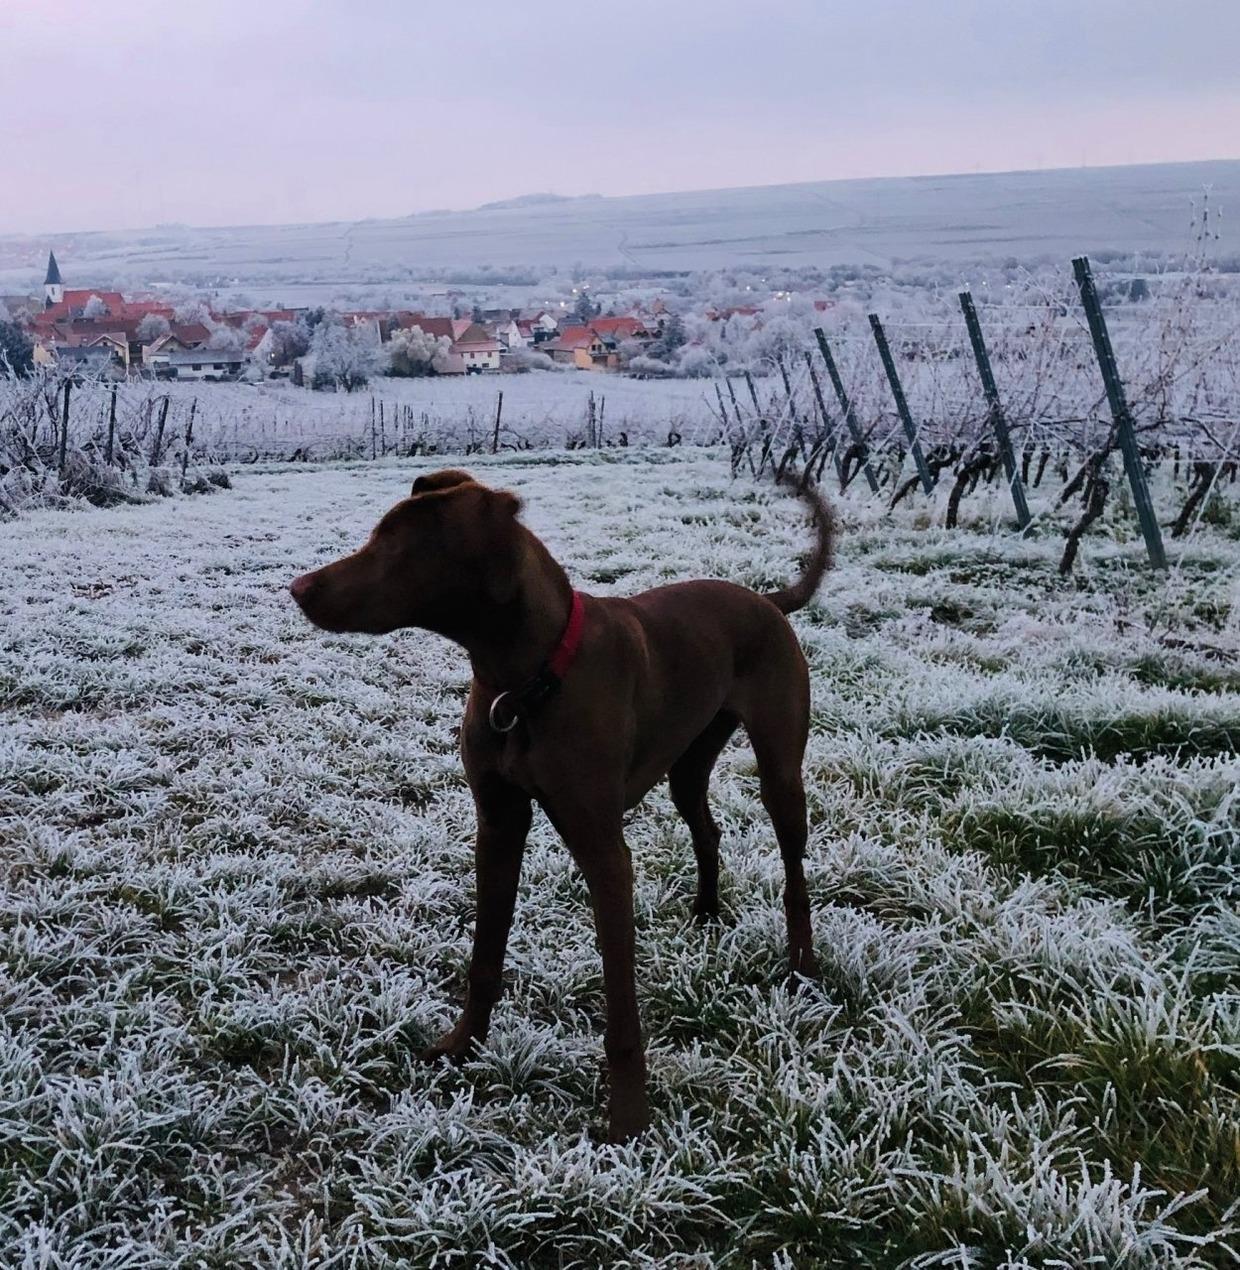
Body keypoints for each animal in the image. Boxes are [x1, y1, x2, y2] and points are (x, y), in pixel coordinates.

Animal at [290, 468, 835, 1141]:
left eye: (398, 547)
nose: (298, 588)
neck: (528, 677)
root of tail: (767, 600)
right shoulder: (498, 826)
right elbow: (485, 956)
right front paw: (463, 1045)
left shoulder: (602, 848)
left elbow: (621, 1004)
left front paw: (628, 1117)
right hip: (688, 762)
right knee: (706, 828)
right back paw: (706, 912)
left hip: (781, 769)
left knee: (793, 868)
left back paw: (802, 962)